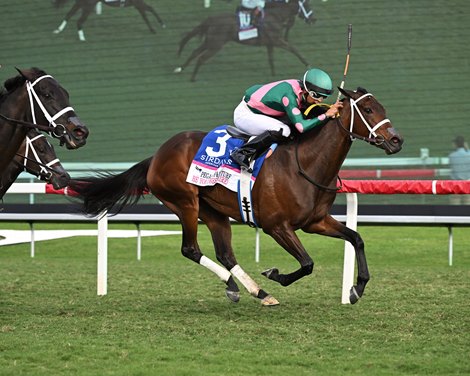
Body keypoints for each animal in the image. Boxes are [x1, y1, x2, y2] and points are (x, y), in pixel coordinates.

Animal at [70, 87, 404, 306]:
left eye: (383, 108)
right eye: (369, 110)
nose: (396, 140)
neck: (306, 164)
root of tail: (157, 156)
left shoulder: (316, 221)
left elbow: (356, 239)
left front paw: (356, 289)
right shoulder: (276, 226)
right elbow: (308, 263)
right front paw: (275, 274)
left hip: (214, 211)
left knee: (225, 254)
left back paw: (250, 290)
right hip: (186, 203)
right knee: (190, 248)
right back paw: (252, 288)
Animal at [174, 0, 314, 82]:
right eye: (306, 6)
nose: (314, 19)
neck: (275, 16)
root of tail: (211, 19)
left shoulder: (270, 43)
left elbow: (271, 59)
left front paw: (274, 77)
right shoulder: (277, 40)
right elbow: (293, 49)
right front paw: (307, 64)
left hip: (210, 41)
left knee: (195, 52)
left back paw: (180, 69)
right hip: (216, 44)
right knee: (201, 58)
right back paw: (192, 78)